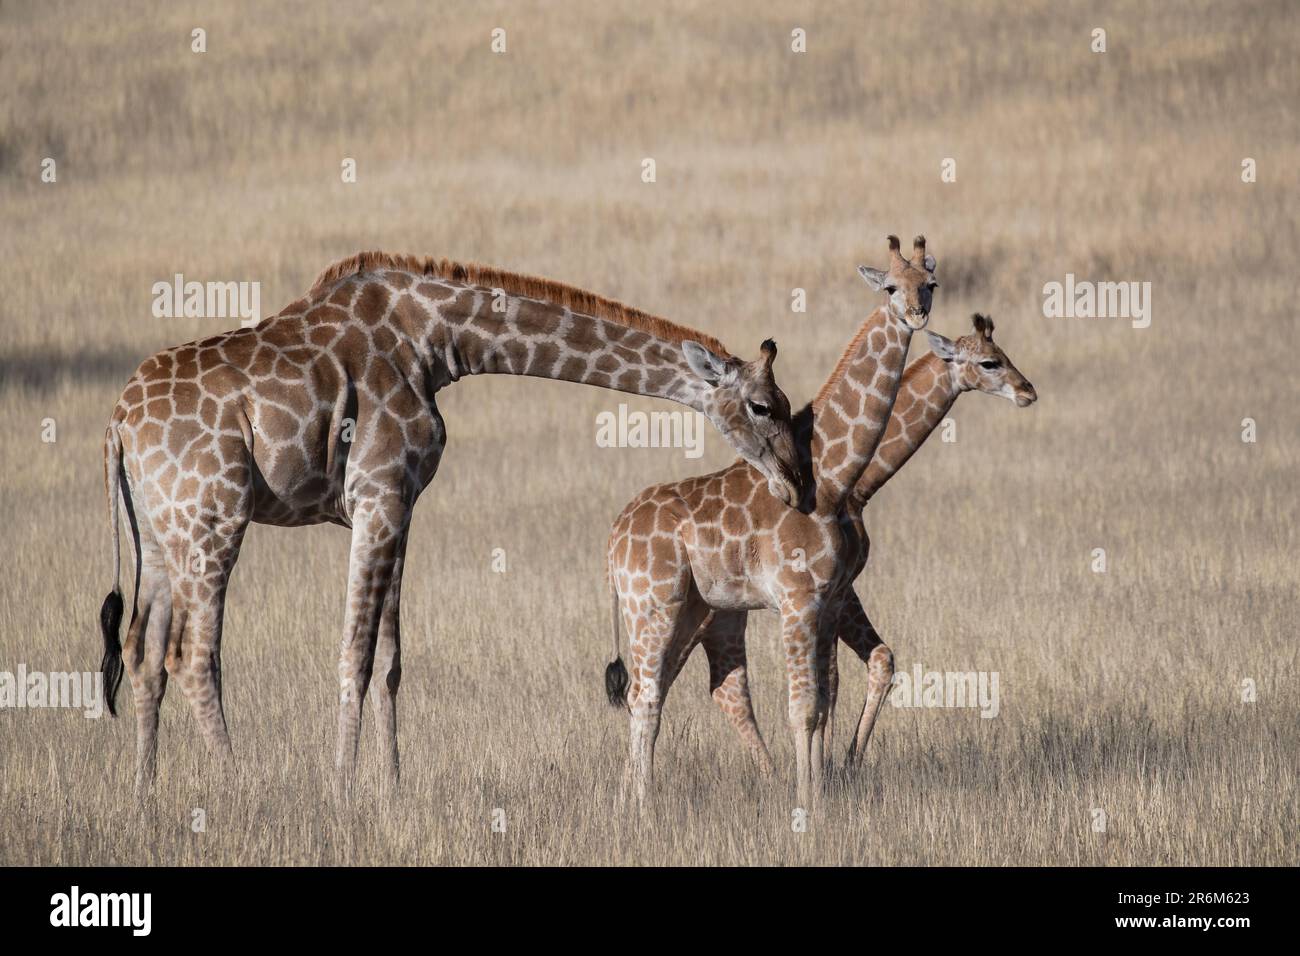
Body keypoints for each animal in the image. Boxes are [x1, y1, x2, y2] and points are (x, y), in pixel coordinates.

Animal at [97, 251, 805, 796]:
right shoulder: (377, 493)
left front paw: (391, 790)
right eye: (762, 406)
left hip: (158, 533)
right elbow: (353, 653)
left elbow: (389, 659)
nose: (797, 486)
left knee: (142, 651)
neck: (437, 342)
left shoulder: (400, 503)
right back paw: (237, 783)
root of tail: (118, 424)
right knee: (192, 654)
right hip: (214, 516)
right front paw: (342, 790)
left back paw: (143, 792)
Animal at [604, 235, 937, 805]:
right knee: (645, 695)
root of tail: (613, 538)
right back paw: (643, 807)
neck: (833, 477)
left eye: (931, 283)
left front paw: (821, 792)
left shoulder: (828, 599)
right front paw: (808, 803)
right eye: (891, 287)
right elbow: (802, 708)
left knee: (655, 690)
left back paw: (630, 799)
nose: (916, 313)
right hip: (652, 603)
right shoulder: (797, 600)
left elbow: (823, 699)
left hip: (689, 608)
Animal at [684, 314, 1037, 776]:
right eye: (989, 362)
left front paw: (840, 764)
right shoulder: (836, 587)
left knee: (717, 687)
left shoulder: (835, 591)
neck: (859, 486)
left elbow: (869, 665)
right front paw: (836, 766)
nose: (1027, 391)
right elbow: (838, 677)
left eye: (1004, 353)